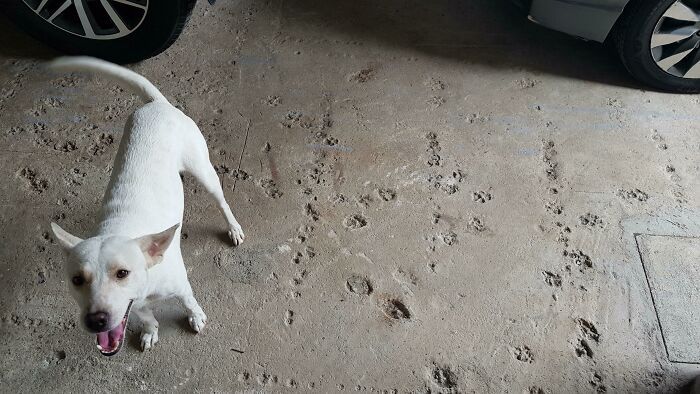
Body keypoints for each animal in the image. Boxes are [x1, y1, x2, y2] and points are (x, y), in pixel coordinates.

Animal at [47, 56, 242, 358]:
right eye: (77, 280)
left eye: (122, 273)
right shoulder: (134, 306)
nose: (96, 321)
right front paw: (150, 332)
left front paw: (196, 317)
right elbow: (147, 316)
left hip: (204, 172)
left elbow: (188, 301)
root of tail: (156, 104)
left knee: (222, 201)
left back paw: (233, 228)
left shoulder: (181, 285)